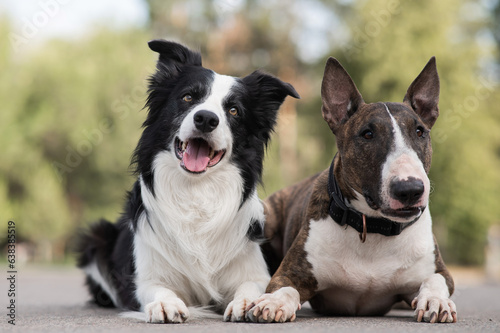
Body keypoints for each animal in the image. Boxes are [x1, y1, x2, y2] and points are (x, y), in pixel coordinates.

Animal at [76, 39, 298, 322]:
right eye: (188, 97)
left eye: (234, 110)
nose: (206, 119)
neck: (196, 191)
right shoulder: (143, 278)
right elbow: (157, 288)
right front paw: (165, 303)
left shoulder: (254, 269)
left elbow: (252, 286)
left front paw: (246, 301)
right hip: (97, 237)